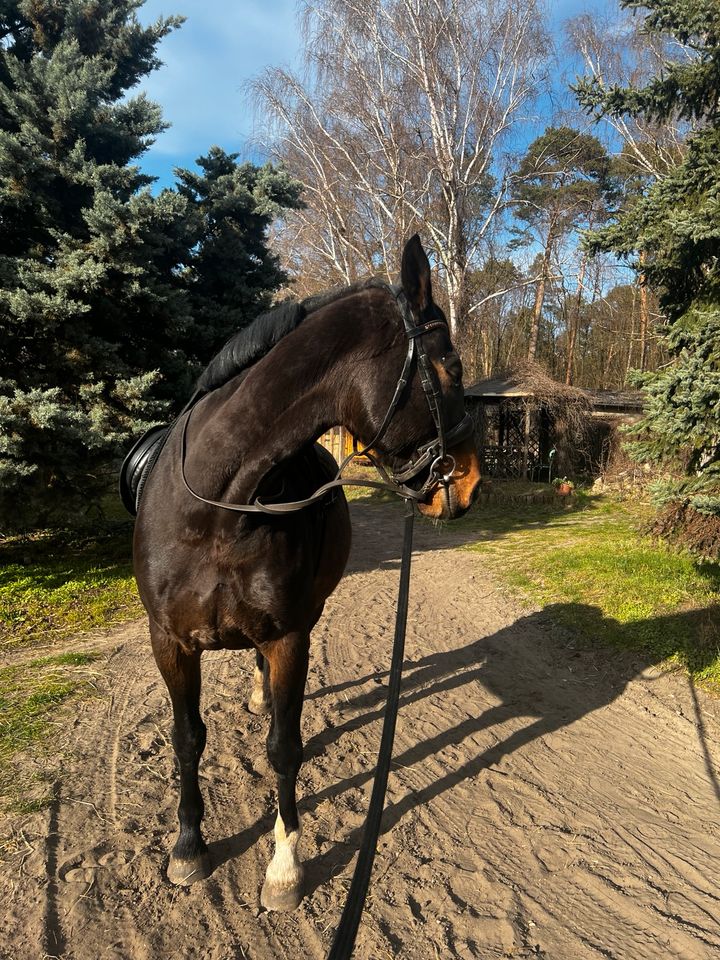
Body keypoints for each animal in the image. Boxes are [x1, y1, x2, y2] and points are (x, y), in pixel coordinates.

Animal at [134, 236, 484, 912]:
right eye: (451, 366)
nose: (472, 484)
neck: (217, 511)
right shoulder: (170, 642)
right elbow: (187, 737)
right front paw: (189, 846)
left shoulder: (287, 637)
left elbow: (284, 748)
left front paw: (284, 866)